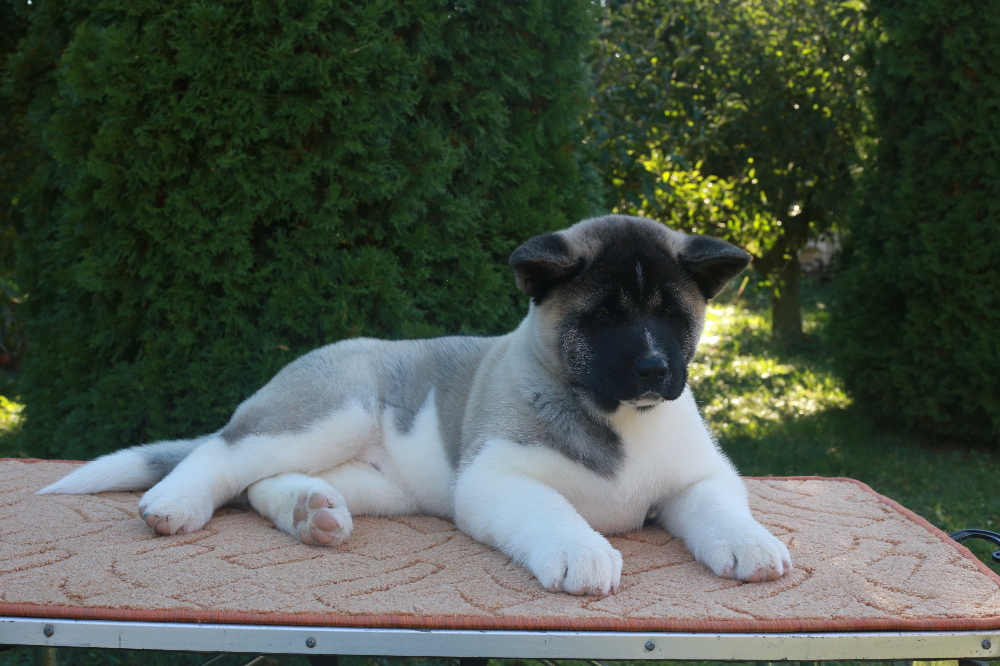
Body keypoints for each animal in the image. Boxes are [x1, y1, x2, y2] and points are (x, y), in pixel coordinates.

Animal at [40, 214, 791, 595]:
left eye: (671, 315)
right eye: (603, 317)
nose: (654, 368)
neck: (616, 417)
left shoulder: (699, 478)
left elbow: (720, 508)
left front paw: (751, 542)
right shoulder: (496, 479)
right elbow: (553, 511)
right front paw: (582, 551)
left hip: (379, 484)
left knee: (258, 485)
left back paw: (312, 514)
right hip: (332, 409)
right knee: (223, 455)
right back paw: (175, 504)